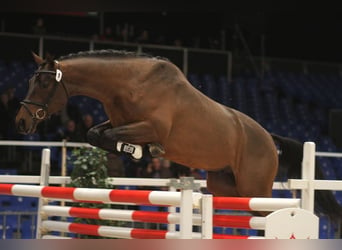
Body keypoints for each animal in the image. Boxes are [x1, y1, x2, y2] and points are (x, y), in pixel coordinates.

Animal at [14, 49, 342, 220]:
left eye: (44, 84)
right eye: (30, 81)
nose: (21, 122)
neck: (129, 84)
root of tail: (269, 138)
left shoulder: (150, 126)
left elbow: (113, 138)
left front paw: (143, 150)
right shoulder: (116, 122)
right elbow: (96, 135)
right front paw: (137, 150)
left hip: (255, 188)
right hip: (227, 185)